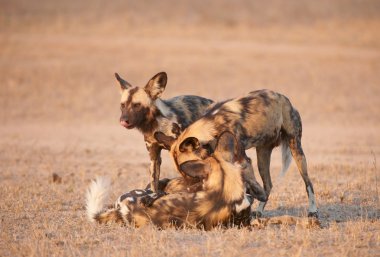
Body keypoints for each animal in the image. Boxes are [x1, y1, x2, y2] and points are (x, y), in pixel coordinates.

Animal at [156, 89, 320, 217]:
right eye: (184, 174)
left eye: (192, 174)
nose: (190, 189)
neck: (212, 128)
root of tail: (284, 98)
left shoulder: (243, 160)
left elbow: (249, 184)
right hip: (262, 155)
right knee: (268, 184)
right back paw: (259, 211)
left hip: (296, 149)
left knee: (308, 183)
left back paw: (312, 210)